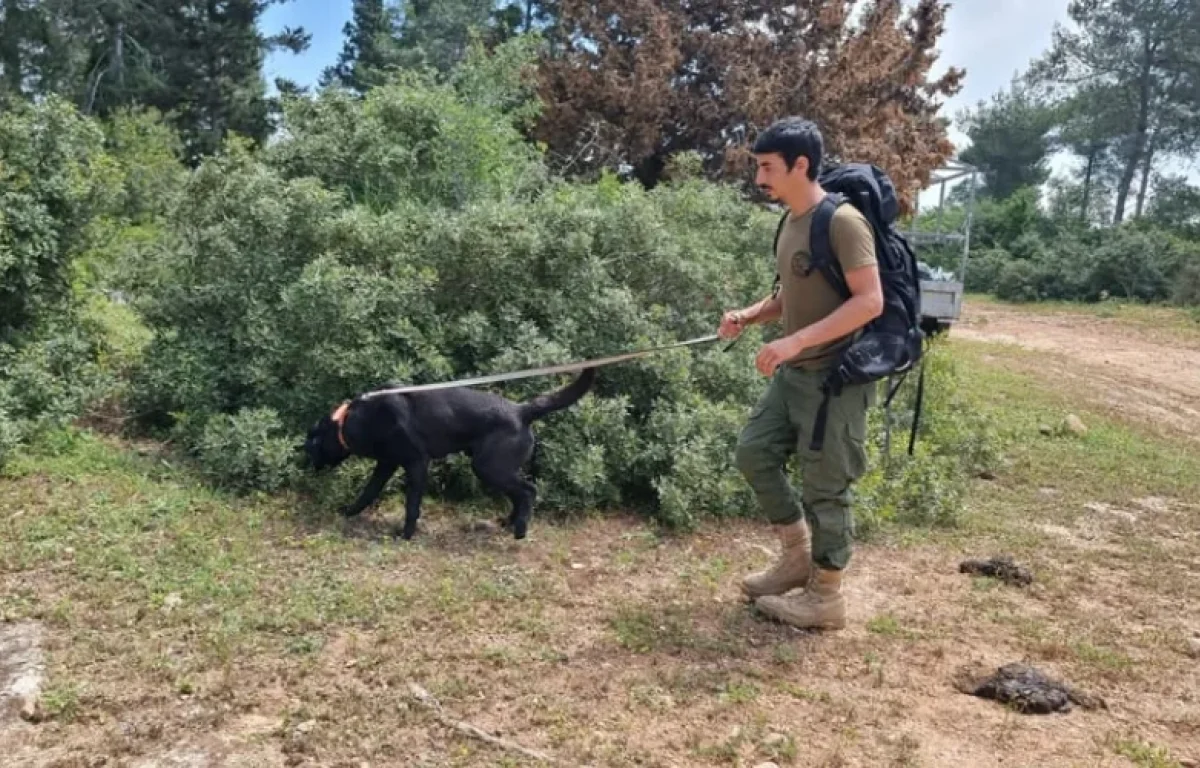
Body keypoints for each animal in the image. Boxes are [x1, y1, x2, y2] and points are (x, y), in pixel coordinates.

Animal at [300, 367, 595, 540]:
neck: (350, 421)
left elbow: (411, 506)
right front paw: (349, 512)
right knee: (519, 494)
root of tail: (522, 411)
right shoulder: (386, 464)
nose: (303, 466)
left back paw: (520, 528)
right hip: (495, 468)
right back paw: (509, 523)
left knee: (529, 490)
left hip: (489, 467)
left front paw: (405, 535)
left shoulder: (417, 463)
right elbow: (368, 493)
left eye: (310, 447)